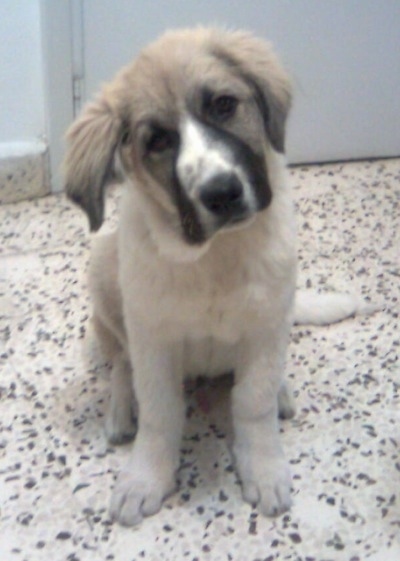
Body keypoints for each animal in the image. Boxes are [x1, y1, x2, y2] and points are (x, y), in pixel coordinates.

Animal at [63, 27, 360, 524]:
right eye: (158, 140)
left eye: (223, 105)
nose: (222, 193)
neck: (213, 255)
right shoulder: (153, 339)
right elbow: (160, 412)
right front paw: (146, 477)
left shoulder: (265, 327)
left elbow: (252, 403)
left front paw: (263, 466)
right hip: (104, 272)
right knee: (121, 362)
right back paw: (122, 410)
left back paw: (281, 391)